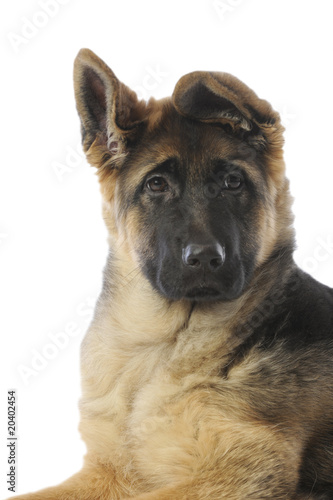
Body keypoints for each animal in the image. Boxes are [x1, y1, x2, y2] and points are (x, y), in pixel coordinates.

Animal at [11, 47, 332, 500]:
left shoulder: (242, 472)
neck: (163, 347)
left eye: (233, 182)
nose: (205, 258)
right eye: (157, 184)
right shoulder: (106, 470)